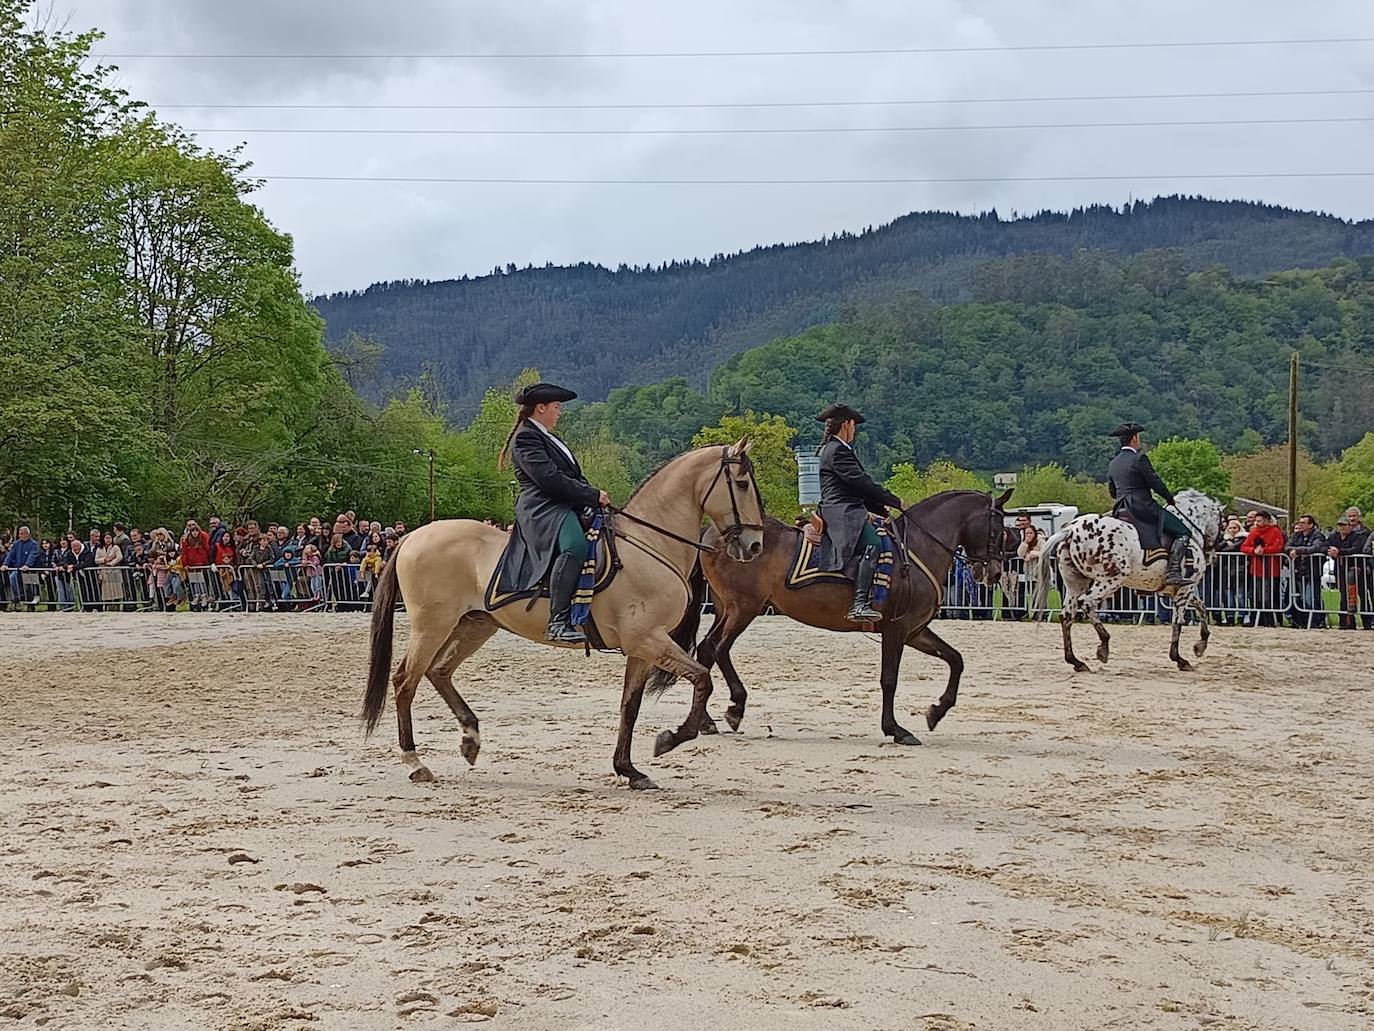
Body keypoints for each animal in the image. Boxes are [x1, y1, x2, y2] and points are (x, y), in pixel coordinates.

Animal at [359, 442, 769, 791]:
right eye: (742, 483)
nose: (755, 546)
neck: (649, 546)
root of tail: (412, 537)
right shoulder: (647, 640)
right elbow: (702, 680)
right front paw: (670, 739)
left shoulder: (642, 648)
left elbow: (630, 707)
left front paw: (629, 770)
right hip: (432, 627)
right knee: (405, 682)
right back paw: (416, 763)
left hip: (473, 626)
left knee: (438, 672)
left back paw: (470, 740)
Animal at [648, 489, 1016, 747]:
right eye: (999, 529)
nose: (994, 572)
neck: (917, 548)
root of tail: (712, 534)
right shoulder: (896, 630)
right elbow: (889, 679)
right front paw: (895, 729)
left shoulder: (915, 630)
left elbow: (956, 660)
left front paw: (936, 711)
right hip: (744, 608)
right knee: (719, 649)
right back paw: (734, 708)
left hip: (727, 609)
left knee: (707, 650)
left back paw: (706, 720)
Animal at [1033, 494, 1225, 679]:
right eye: (1221, 524)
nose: (1213, 556)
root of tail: (1071, 530)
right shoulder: (1184, 591)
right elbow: (1178, 622)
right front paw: (1180, 658)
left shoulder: (1179, 591)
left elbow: (1202, 608)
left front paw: (1200, 645)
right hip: (1110, 580)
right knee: (1087, 603)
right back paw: (1103, 646)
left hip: (1075, 584)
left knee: (1066, 616)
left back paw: (1076, 661)